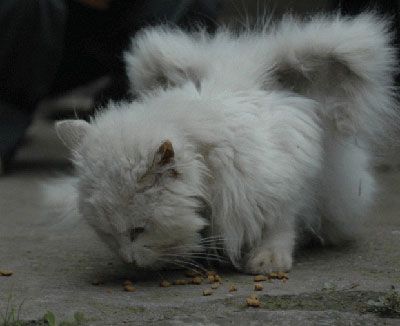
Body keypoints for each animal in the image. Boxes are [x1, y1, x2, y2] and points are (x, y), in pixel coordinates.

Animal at [52, 13, 396, 272]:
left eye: (138, 231)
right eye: (107, 234)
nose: (128, 261)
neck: (206, 161)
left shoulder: (283, 180)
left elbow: (280, 223)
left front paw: (268, 260)